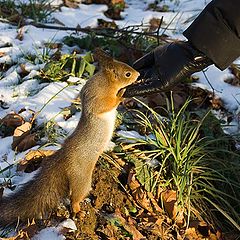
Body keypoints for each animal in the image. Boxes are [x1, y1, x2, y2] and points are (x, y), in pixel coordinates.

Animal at [0, 48, 140, 227]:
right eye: (127, 74)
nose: (138, 74)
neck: (105, 81)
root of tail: (63, 159)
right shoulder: (97, 98)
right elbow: (106, 104)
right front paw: (121, 95)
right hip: (82, 180)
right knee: (75, 198)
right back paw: (78, 211)